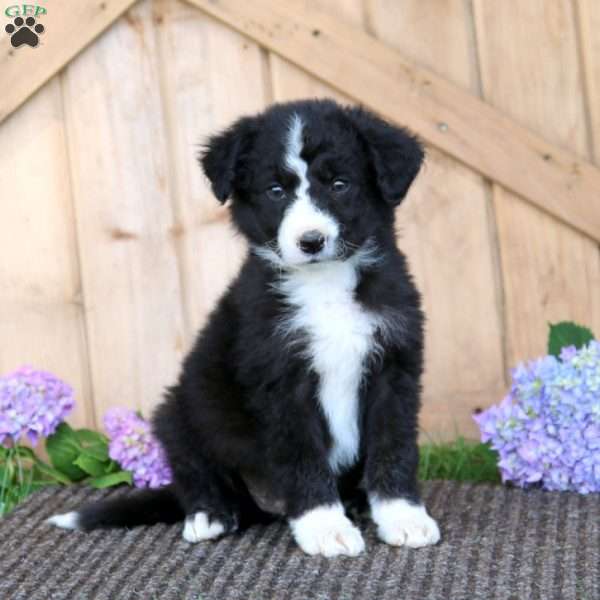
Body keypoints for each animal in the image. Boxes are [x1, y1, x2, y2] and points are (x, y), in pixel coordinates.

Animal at [48, 97, 440, 556]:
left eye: (340, 185)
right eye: (276, 191)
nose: (310, 241)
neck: (325, 285)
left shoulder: (393, 367)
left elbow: (393, 446)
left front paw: (402, 516)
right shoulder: (281, 380)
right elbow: (303, 456)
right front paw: (324, 526)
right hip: (180, 410)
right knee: (194, 472)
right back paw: (210, 515)